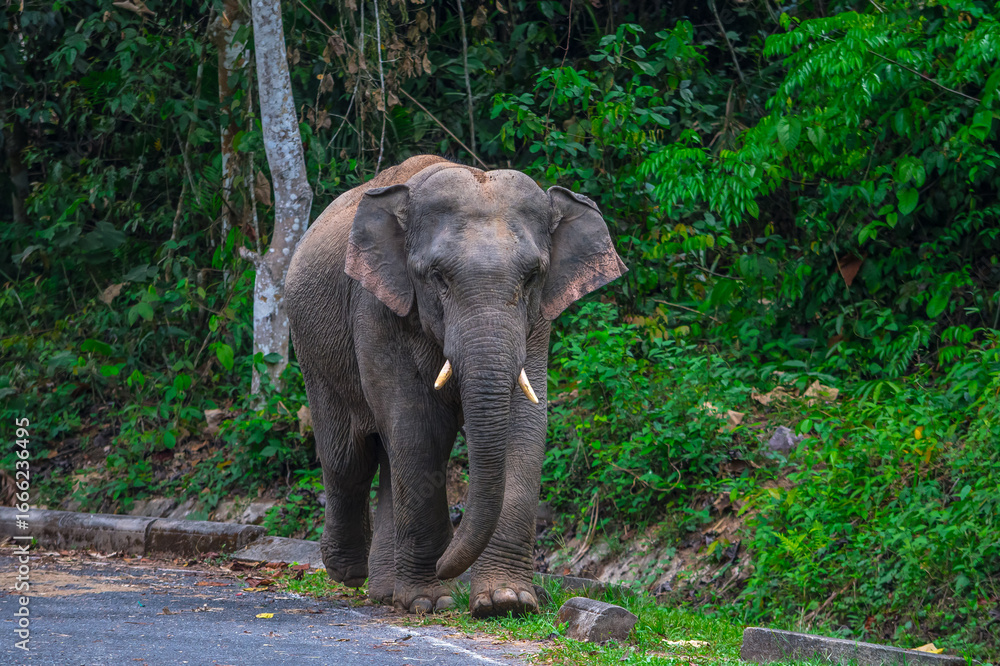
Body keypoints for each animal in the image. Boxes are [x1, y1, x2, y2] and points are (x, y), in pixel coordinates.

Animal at [285, 155, 626, 617]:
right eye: (438, 277)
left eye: (532, 277)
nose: (447, 563)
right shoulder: (376, 309)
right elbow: (419, 428)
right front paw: (431, 602)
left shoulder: (538, 323)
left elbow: (525, 425)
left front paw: (506, 602)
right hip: (312, 351)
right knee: (349, 458)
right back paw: (349, 572)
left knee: (384, 457)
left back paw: (384, 592)